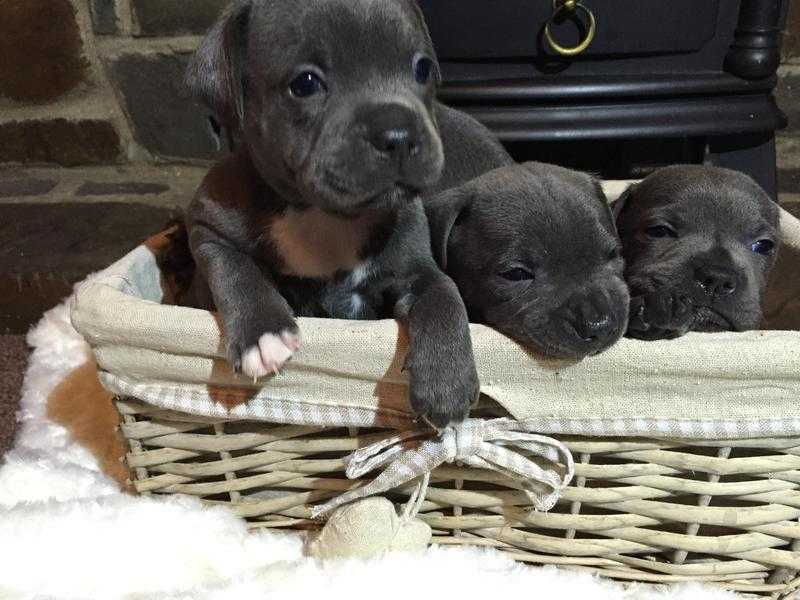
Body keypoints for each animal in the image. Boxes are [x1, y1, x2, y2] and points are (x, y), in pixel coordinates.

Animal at [181, 0, 520, 426]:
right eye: (305, 83)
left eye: (423, 69)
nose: (398, 135)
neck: (326, 216)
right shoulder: (207, 224)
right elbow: (233, 267)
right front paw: (263, 333)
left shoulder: (416, 266)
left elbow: (444, 293)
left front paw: (447, 380)